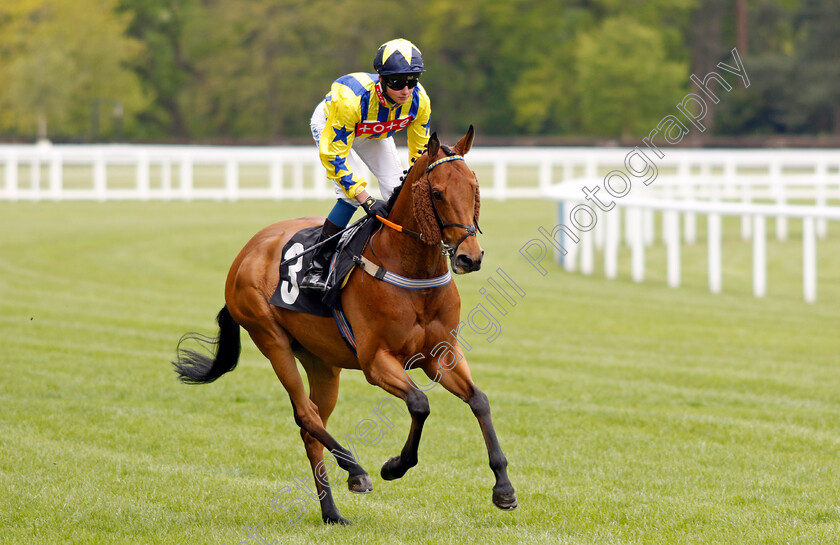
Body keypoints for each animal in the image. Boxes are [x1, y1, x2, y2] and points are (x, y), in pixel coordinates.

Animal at [173, 126, 516, 524]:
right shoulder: (375, 360)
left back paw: (332, 512)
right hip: (270, 338)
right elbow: (419, 403)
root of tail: (246, 251)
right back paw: (356, 471)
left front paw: (503, 488)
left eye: (474, 187)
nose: (469, 257)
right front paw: (394, 466)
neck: (412, 270)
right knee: (306, 415)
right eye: (437, 193)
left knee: (311, 428)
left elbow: (479, 400)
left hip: (322, 363)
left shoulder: (440, 355)